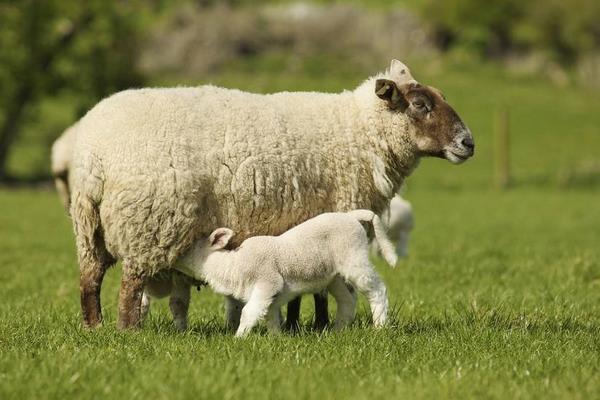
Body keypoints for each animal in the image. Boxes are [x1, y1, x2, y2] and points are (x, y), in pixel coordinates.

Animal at [173, 209, 398, 338]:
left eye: (187, 247)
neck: (232, 265)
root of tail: (351, 216)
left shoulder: (268, 282)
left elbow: (248, 313)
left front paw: (238, 339)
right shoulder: (270, 296)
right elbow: (269, 317)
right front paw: (276, 340)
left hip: (355, 258)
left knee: (377, 290)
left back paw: (380, 327)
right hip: (333, 275)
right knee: (347, 300)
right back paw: (337, 331)